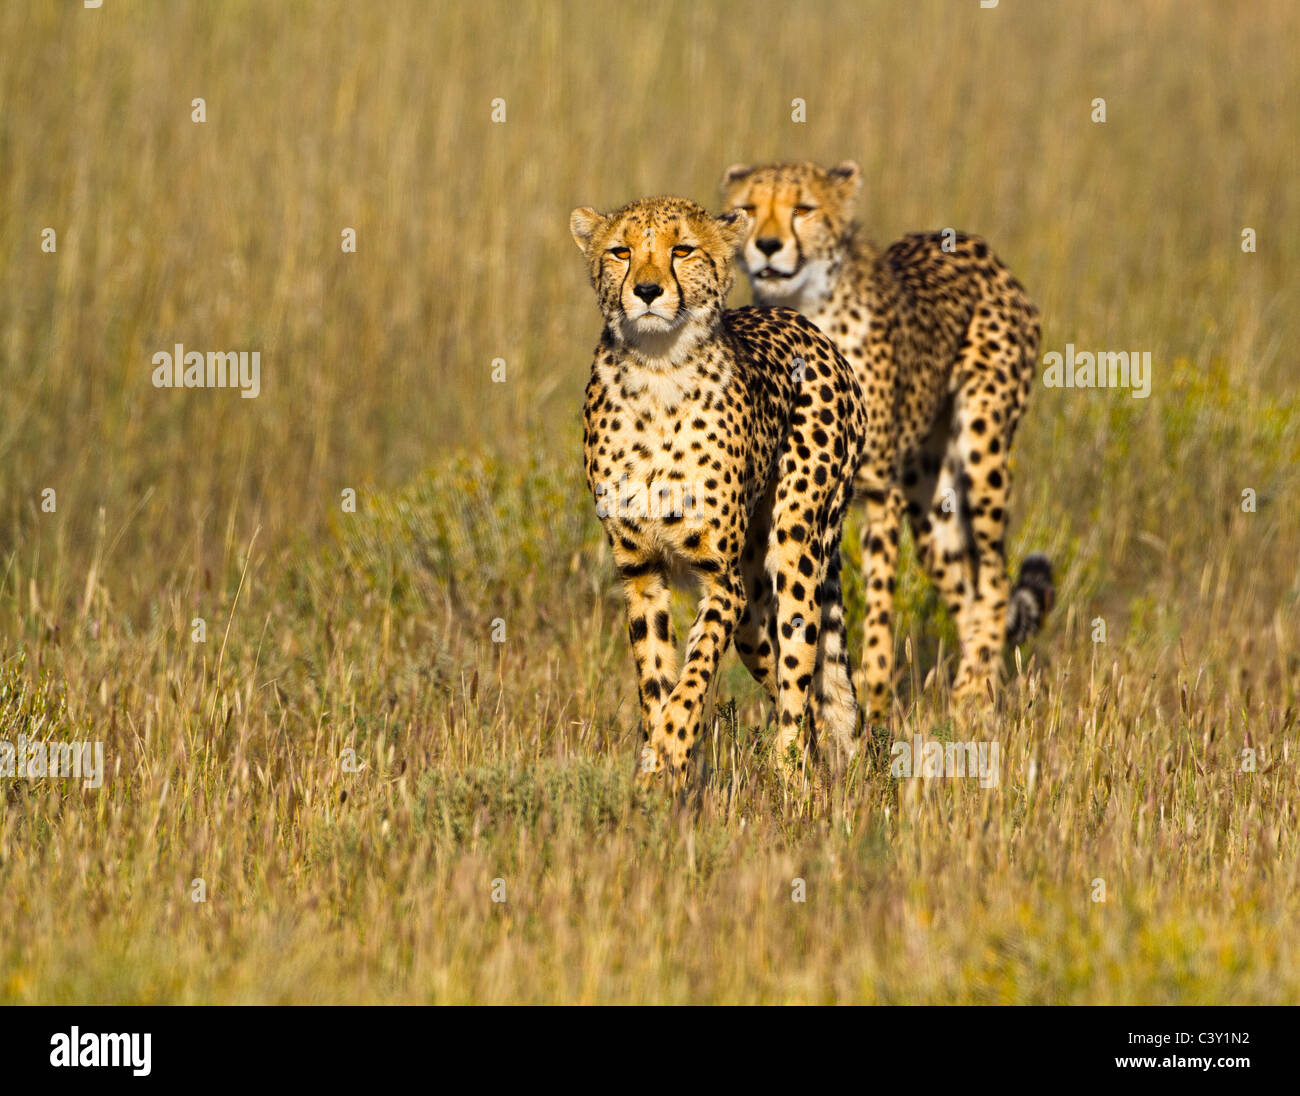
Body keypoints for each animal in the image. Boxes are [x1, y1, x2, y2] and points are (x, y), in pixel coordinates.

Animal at [570, 195, 876, 786]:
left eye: (682, 249)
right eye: (620, 252)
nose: (647, 291)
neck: (657, 370)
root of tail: (806, 324)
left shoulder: (720, 580)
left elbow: (693, 674)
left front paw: (672, 743)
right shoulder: (641, 571)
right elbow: (655, 676)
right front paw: (657, 768)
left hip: (797, 549)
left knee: (798, 675)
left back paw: (791, 779)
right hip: (754, 611)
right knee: (784, 677)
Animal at [721, 159, 1055, 720]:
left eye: (803, 208)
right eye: (747, 208)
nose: (767, 245)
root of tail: (976, 246)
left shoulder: (878, 491)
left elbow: (876, 603)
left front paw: (873, 700)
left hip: (982, 446)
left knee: (992, 578)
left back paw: (974, 694)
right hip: (928, 499)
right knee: (964, 589)